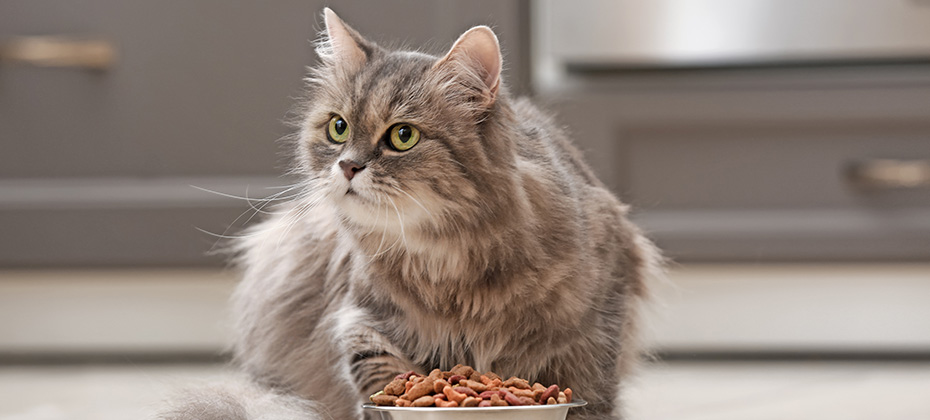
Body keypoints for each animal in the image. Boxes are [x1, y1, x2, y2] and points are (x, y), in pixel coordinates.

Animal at [163, 7, 664, 420]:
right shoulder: (363, 324)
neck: (445, 258)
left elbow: (594, 400)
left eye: (403, 136)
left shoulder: (595, 334)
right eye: (338, 128)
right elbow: (380, 383)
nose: (347, 166)